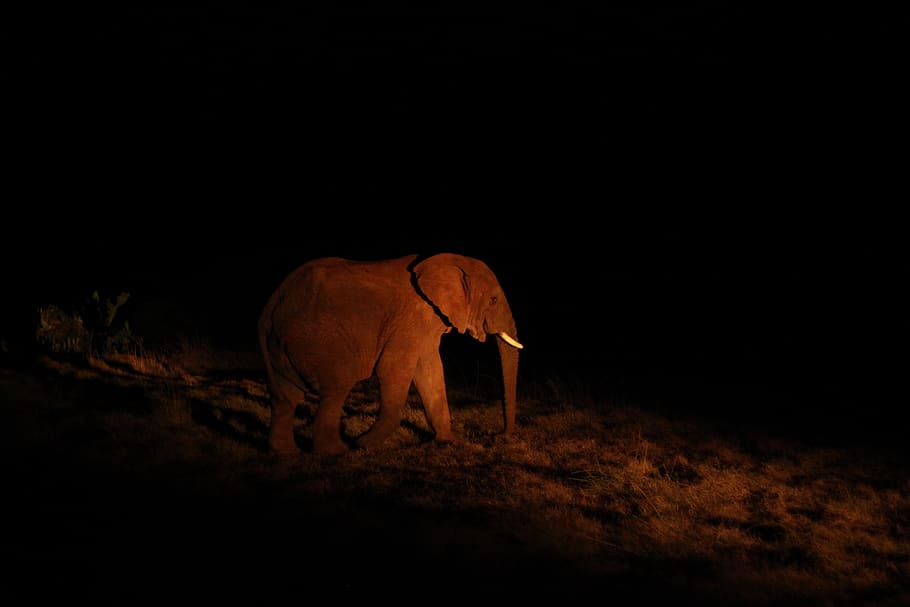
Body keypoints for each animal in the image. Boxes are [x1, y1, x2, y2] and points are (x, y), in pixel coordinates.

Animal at [257, 252, 523, 455]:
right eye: (493, 300)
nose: (498, 436)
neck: (448, 260)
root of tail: (271, 307)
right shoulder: (410, 320)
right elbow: (393, 369)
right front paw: (363, 444)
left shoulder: (428, 323)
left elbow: (431, 371)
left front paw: (451, 442)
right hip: (319, 342)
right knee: (334, 391)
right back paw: (338, 451)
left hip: (278, 345)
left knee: (284, 398)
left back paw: (287, 454)